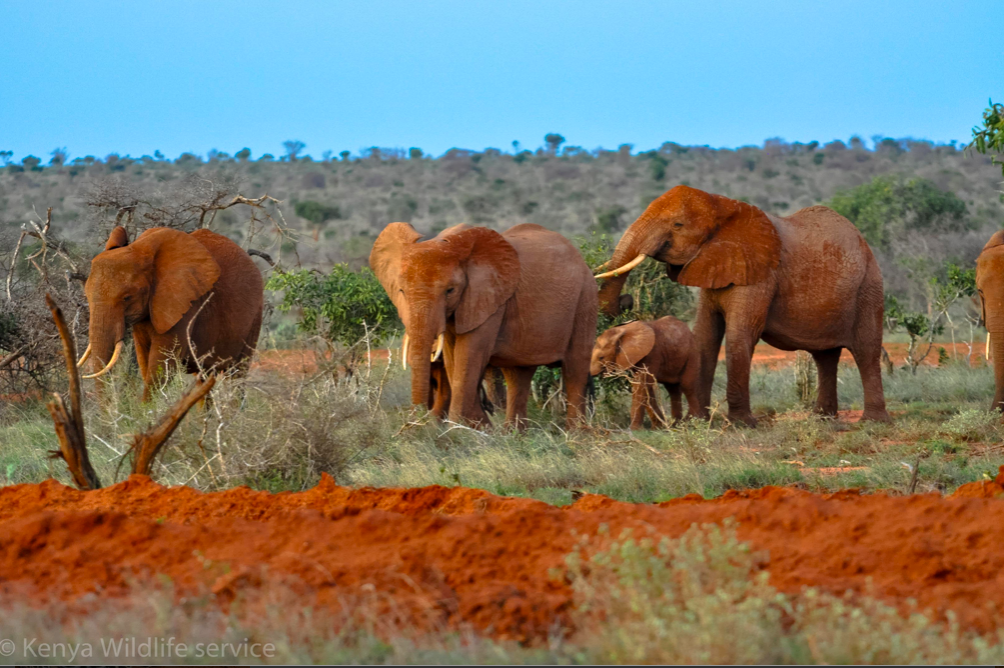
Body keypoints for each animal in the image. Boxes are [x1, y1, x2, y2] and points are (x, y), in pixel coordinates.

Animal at [79, 225, 264, 400]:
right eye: (86, 295)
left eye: (127, 297)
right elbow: (145, 362)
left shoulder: (184, 304)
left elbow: (161, 367)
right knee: (203, 379)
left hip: (256, 315)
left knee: (237, 376)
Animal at [370, 222, 597, 428]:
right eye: (401, 291)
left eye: (450, 290)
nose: (414, 426)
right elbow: (453, 360)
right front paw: (478, 428)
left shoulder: (489, 298)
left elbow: (469, 355)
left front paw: (458, 431)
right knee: (518, 375)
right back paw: (513, 436)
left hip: (585, 299)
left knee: (575, 368)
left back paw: (576, 436)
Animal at [596, 185, 890, 426]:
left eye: (678, 224)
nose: (625, 302)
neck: (722, 206)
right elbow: (705, 335)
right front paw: (697, 422)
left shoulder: (761, 274)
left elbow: (740, 334)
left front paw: (740, 424)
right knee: (825, 357)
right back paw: (822, 419)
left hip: (869, 286)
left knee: (866, 351)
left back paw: (872, 422)